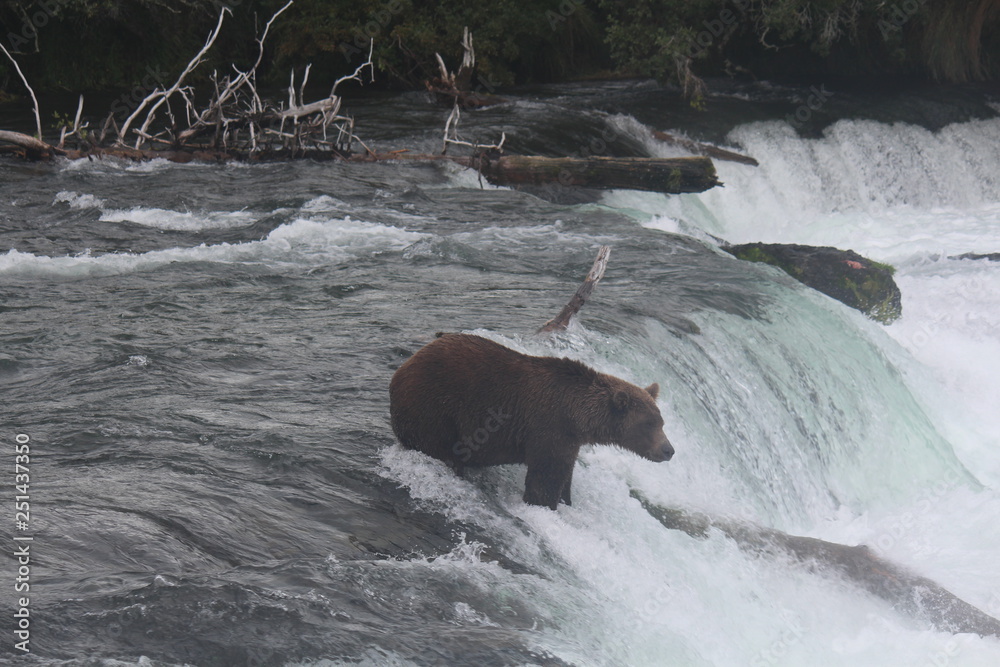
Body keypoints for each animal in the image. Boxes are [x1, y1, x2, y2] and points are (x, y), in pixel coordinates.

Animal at [389, 333, 674, 510]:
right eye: (649, 424)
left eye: (661, 422)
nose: (668, 450)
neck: (578, 416)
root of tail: (403, 367)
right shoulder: (550, 427)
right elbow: (545, 477)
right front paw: (546, 504)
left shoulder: (569, 440)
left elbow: (565, 474)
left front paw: (566, 500)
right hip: (434, 408)